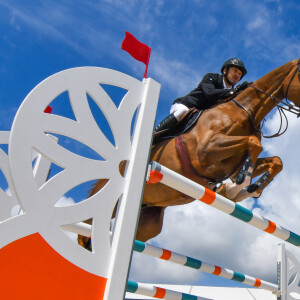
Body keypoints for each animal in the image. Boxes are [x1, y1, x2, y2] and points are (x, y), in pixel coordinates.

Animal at [78, 59, 300, 248]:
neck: (246, 111)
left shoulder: (231, 163)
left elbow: (275, 161)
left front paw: (248, 188)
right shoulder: (206, 151)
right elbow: (254, 144)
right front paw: (238, 186)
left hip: (148, 221)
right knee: (85, 231)